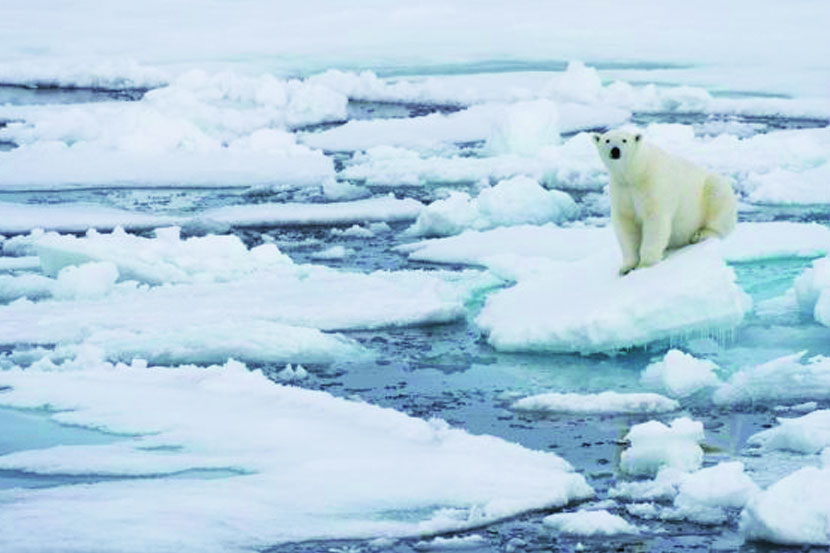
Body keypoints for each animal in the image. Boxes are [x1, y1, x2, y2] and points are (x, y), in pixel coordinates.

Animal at [596, 130, 736, 276]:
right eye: (607, 140)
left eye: (624, 140)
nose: (615, 150)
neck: (635, 172)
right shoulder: (622, 190)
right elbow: (626, 225)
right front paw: (626, 267)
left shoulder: (652, 184)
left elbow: (654, 221)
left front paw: (645, 265)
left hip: (711, 189)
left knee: (718, 203)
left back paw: (699, 235)